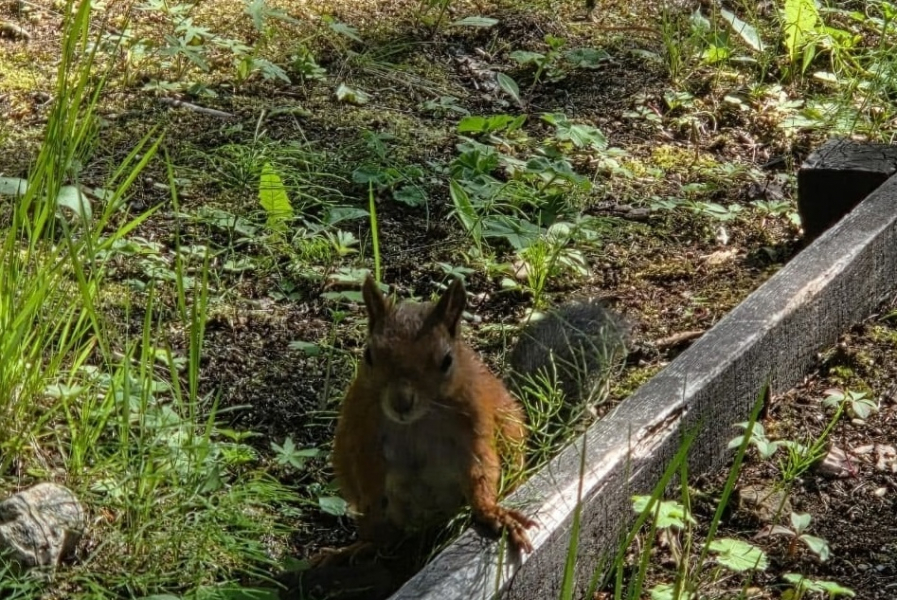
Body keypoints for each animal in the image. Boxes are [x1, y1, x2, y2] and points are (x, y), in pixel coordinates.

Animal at [312, 274, 629, 568]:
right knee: (384, 537)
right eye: (369, 355)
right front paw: (369, 510)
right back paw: (355, 548)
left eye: (446, 361)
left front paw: (493, 513)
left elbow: (480, 471)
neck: (415, 423)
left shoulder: (474, 427)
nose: (401, 403)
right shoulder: (363, 429)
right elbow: (366, 471)